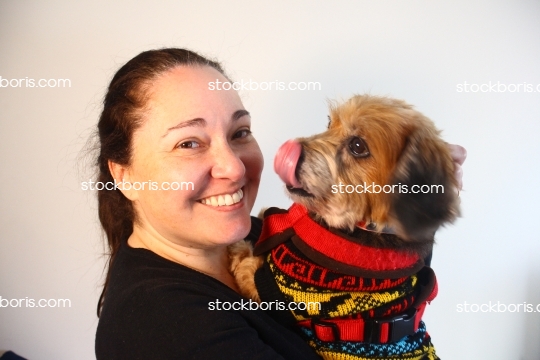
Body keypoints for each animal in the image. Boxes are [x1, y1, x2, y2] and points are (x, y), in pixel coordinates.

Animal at [230, 94, 462, 358]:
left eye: (358, 146)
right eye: (330, 122)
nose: (289, 150)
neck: (362, 228)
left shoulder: (271, 288)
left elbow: (245, 261)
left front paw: (239, 246)